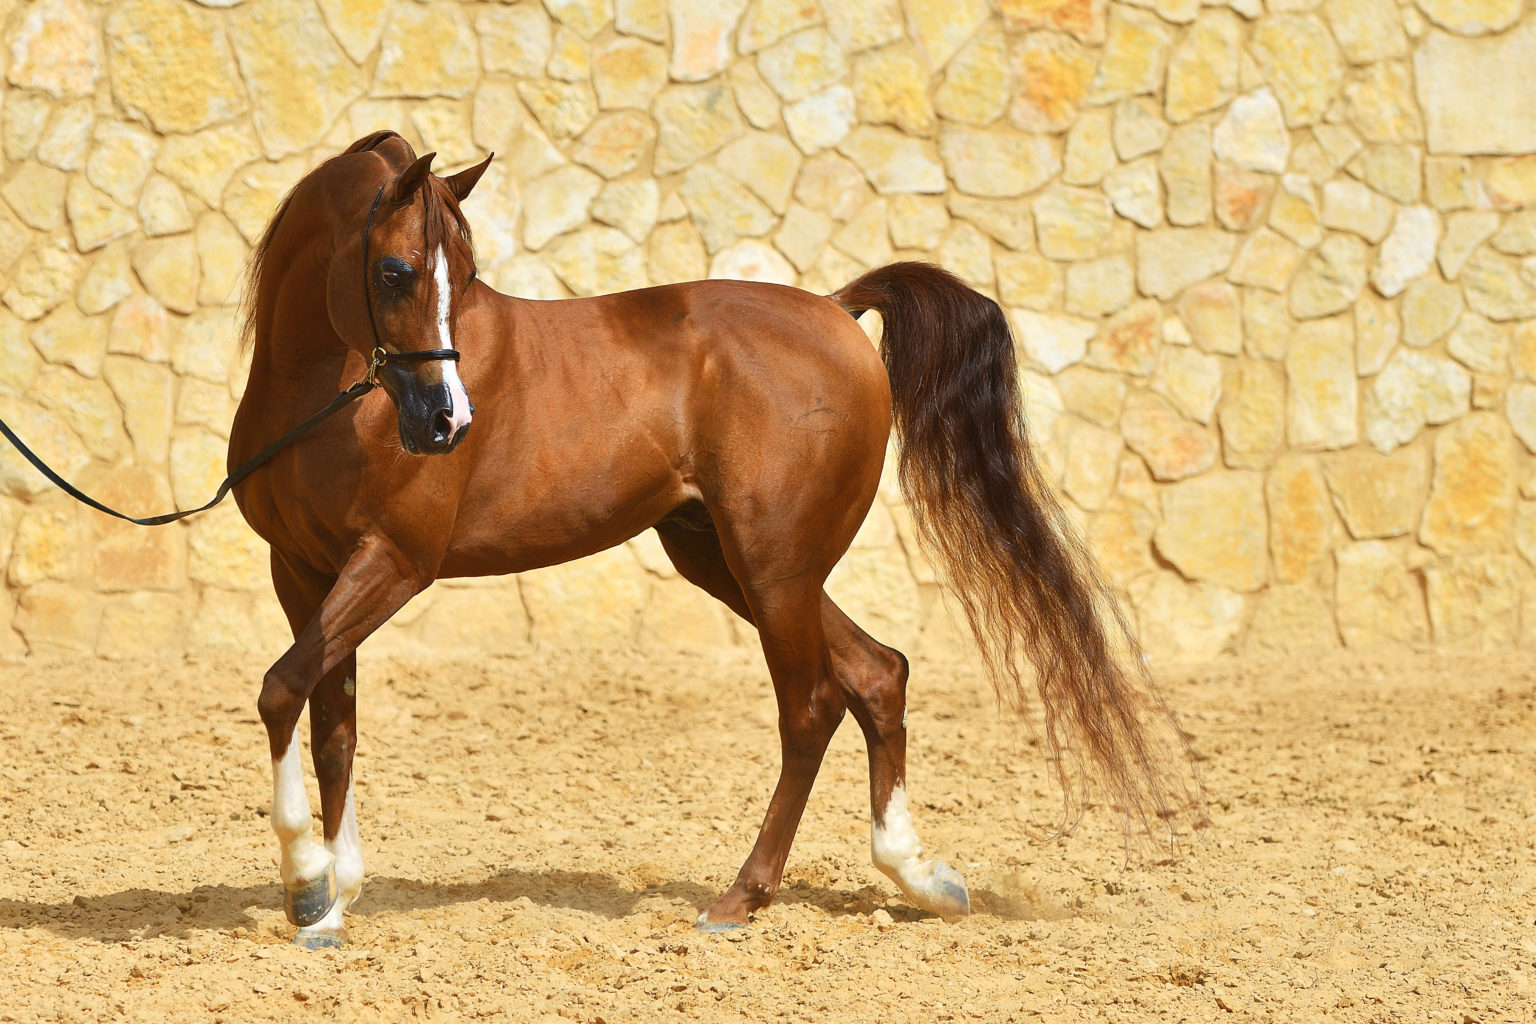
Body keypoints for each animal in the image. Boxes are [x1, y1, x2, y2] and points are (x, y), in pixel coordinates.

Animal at [231, 130, 1191, 949]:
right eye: (395, 271)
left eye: (464, 276)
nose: (446, 422)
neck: (326, 397)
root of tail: (837, 313)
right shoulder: (303, 572)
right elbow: (332, 722)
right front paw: (333, 897)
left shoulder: (394, 564)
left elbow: (280, 691)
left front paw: (308, 886)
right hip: (732, 561)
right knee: (879, 673)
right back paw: (919, 875)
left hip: (772, 568)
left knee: (812, 708)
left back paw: (741, 899)